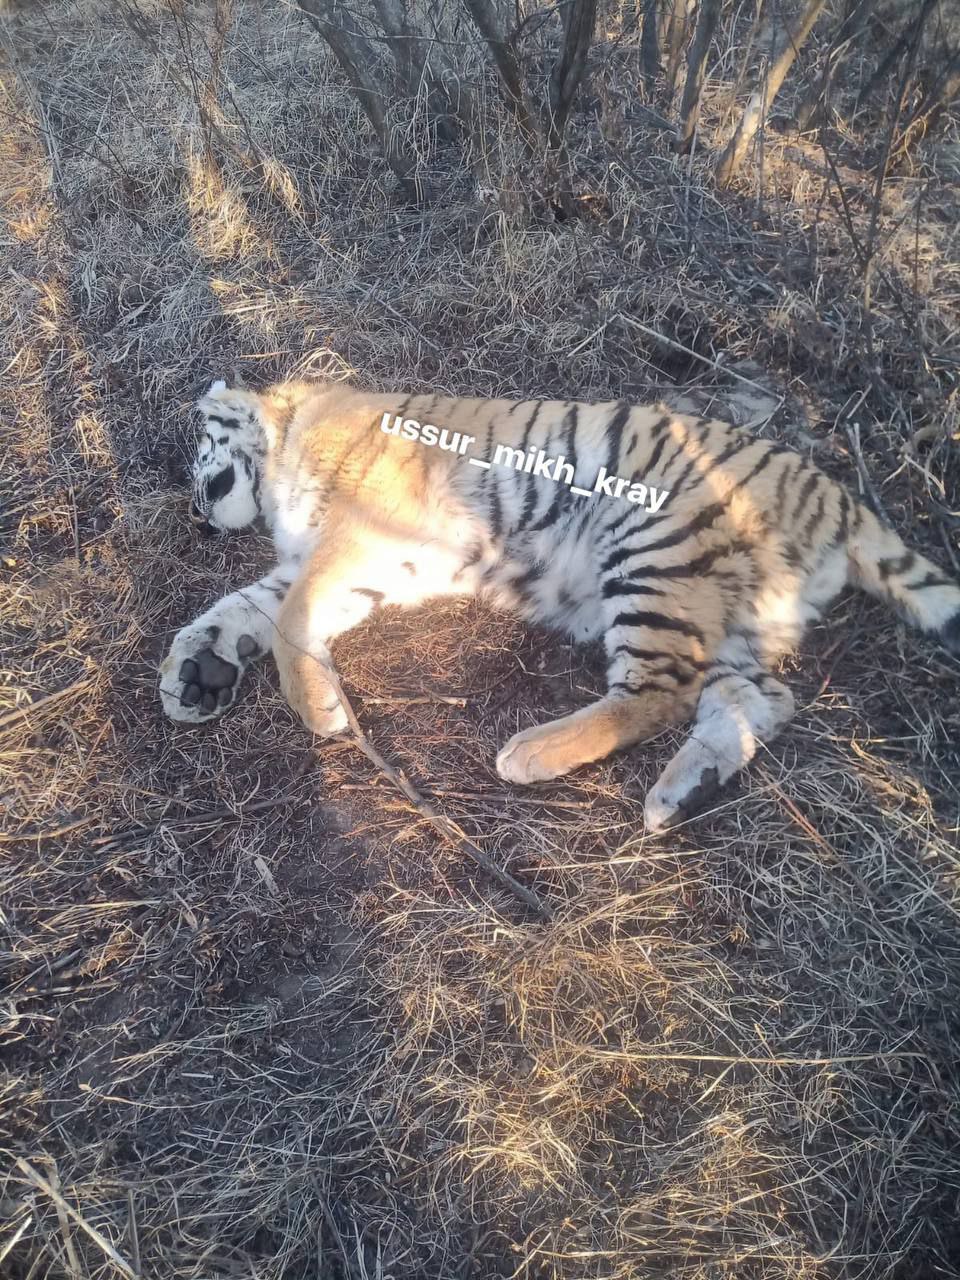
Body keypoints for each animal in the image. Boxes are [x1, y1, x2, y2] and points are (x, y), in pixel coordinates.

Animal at [160, 376, 960, 829]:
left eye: (196, 445)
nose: (195, 514)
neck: (291, 427)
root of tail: (835, 498)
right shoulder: (333, 563)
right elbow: (243, 609)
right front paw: (193, 675)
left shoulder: (354, 535)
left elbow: (291, 619)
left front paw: (321, 713)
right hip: (730, 621)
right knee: (759, 698)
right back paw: (684, 795)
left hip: (655, 553)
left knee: (658, 693)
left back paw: (530, 754)